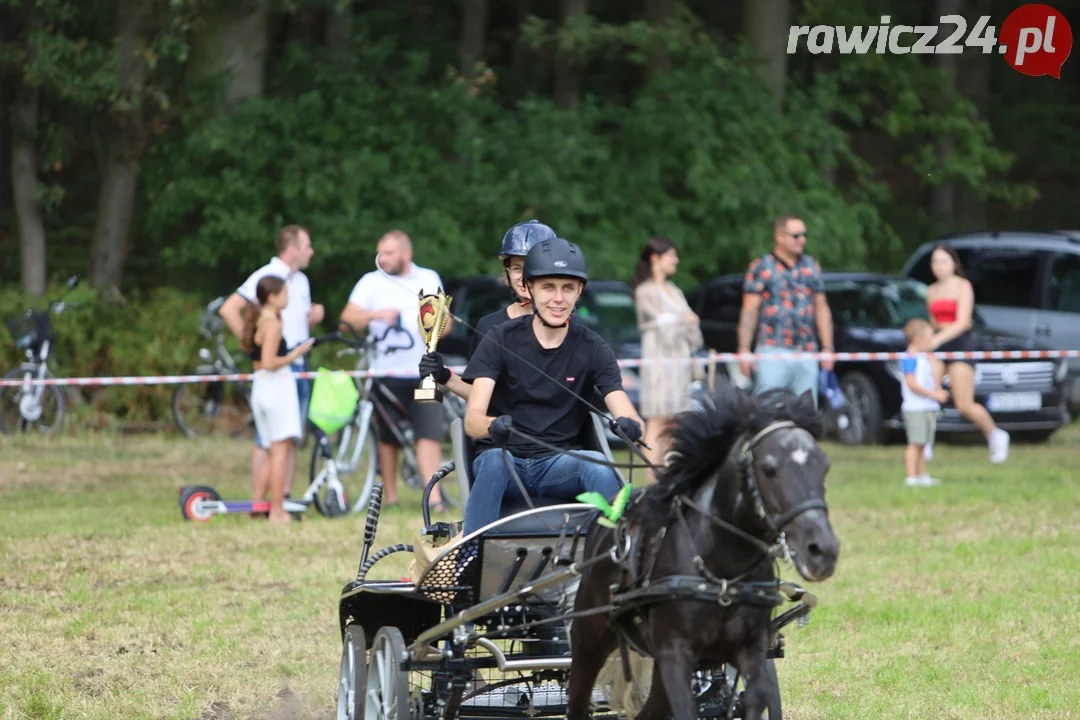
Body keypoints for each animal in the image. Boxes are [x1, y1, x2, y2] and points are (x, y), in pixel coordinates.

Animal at [565, 388, 842, 720]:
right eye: (769, 468)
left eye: (824, 466)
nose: (823, 550)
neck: (722, 573)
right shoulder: (674, 653)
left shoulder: (751, 650)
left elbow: (756, 699)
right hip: (588, 638)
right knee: (577, 696)